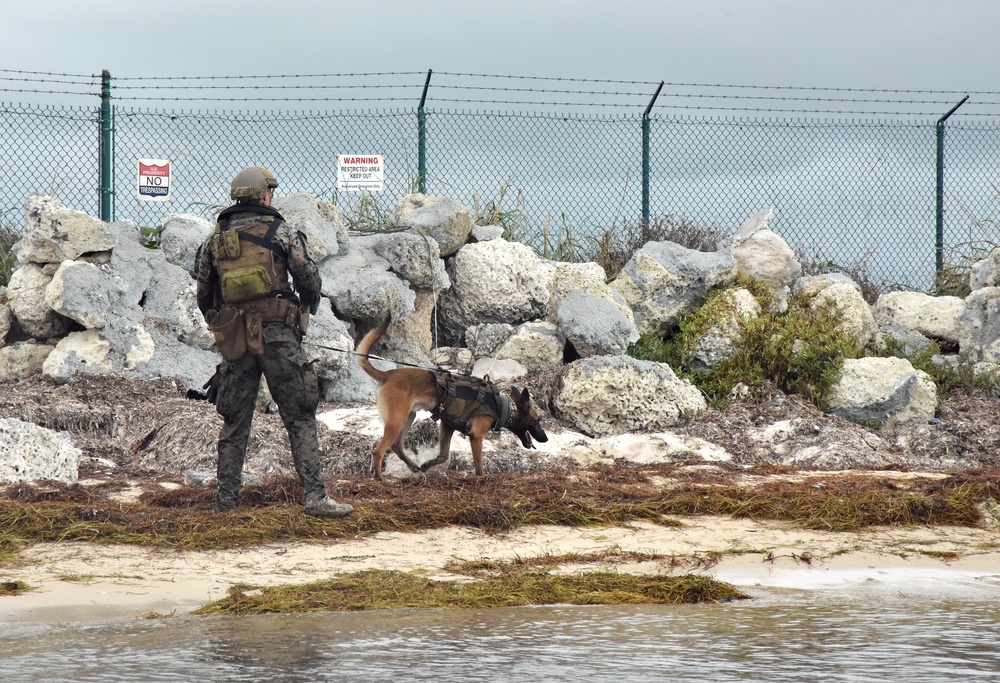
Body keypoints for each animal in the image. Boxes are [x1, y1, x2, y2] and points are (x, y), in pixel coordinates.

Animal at [358, 318, 552, 478]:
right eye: (537, 420)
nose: (546, 439)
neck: (502, 405)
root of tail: (387, 374)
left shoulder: (447, 425)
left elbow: (443, 456)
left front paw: (428, 465)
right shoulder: (476, 435)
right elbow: (478, 464)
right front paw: (481, 478)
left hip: (408, 417)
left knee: (396, 445)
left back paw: (413, 466)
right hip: (397, 421)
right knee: (378, 451)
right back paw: (380, 478)